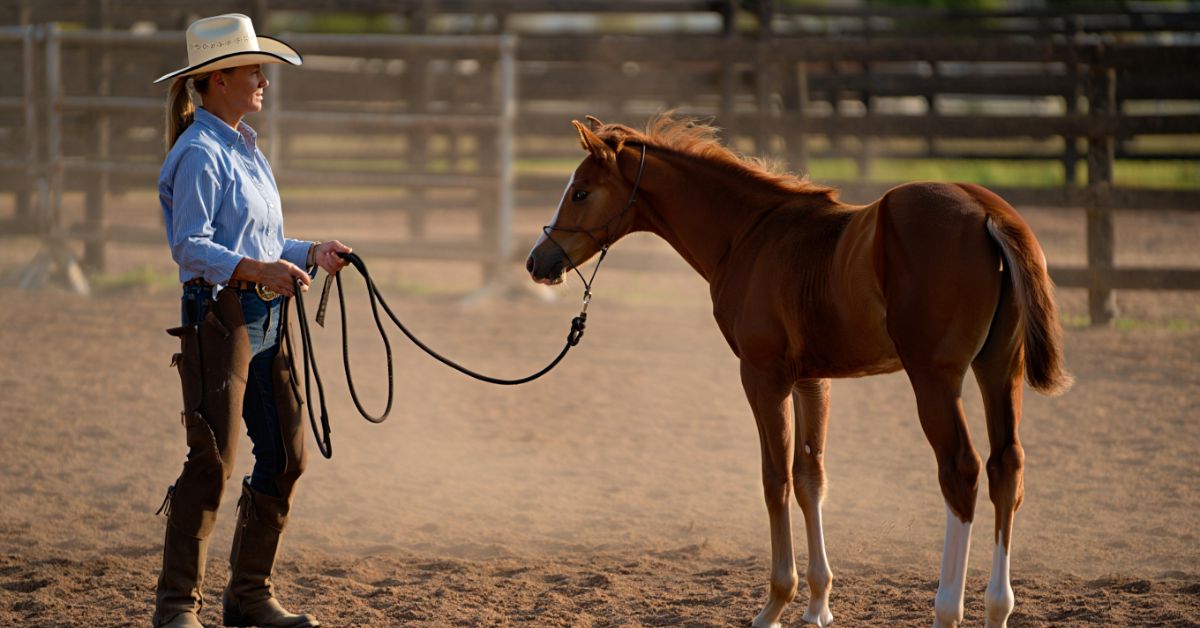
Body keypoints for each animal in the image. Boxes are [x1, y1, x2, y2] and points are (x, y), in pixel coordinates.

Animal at [525, 114, 1072, 628]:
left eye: (580, 191)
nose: (537, 261)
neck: (749, 233)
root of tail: (988, 211)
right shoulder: (813, 379)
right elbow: (811, 477)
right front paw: (817, 603)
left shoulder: (762, 375)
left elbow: (775, 479)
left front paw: (774, 603)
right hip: (999, 370)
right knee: (1007, 466)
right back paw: (998, 607)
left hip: (936, 379)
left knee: (961, 470)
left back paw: (946, 610)